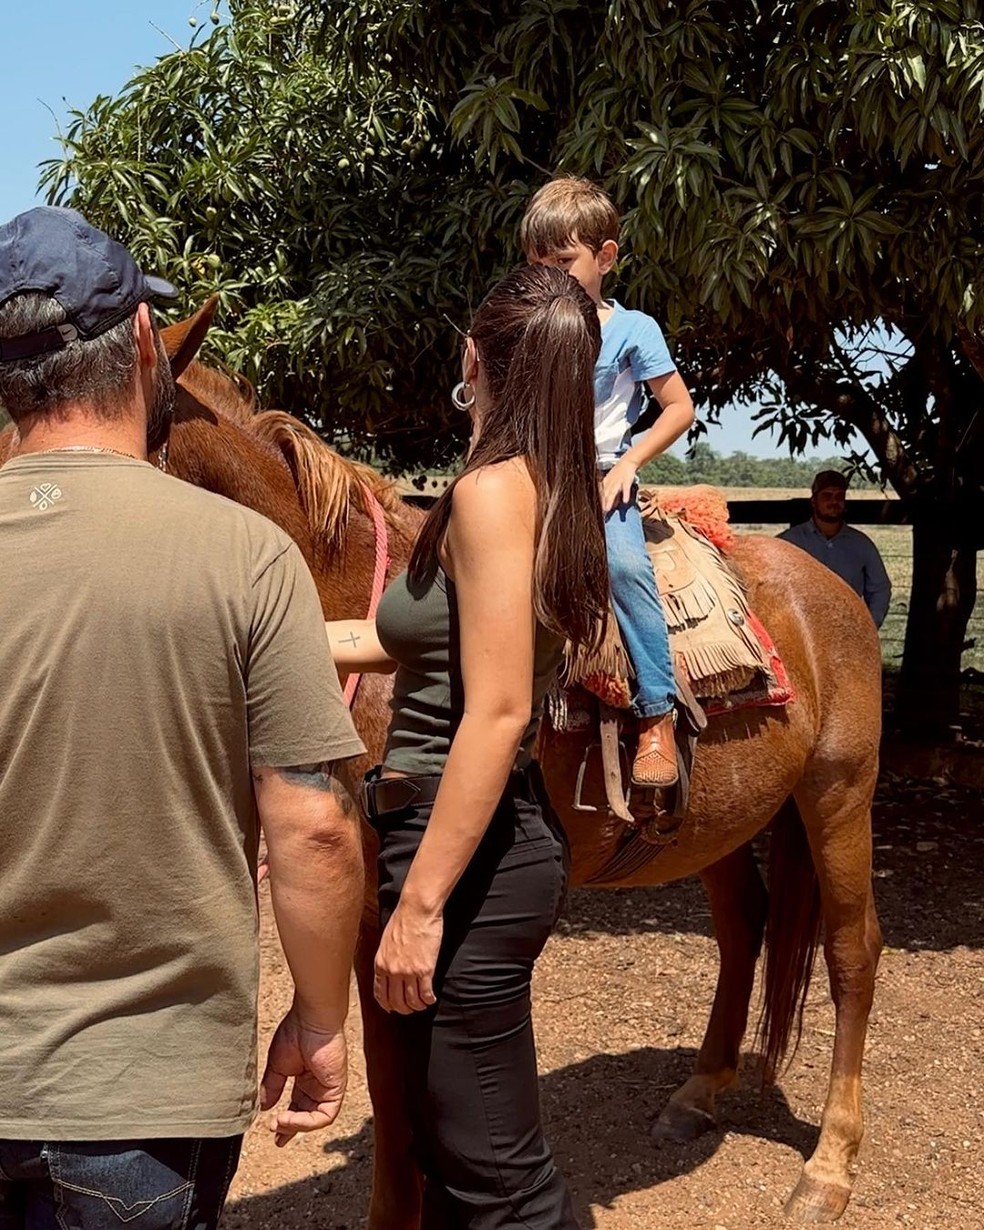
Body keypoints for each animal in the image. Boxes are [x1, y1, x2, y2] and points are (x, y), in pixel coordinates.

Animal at [0, 307, 885, 1220]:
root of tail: (828, 589)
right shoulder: (371, 919)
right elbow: (401, 1103)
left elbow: (402, 1101)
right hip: (715, 823)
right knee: (744, 928)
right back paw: (698, 1094)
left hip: (839, 795)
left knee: (853, 955)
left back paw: (828, 1168)